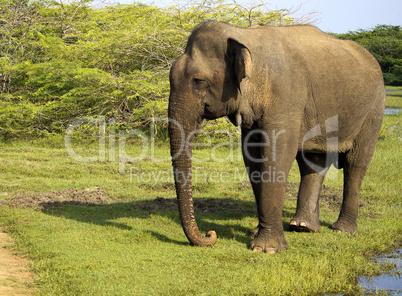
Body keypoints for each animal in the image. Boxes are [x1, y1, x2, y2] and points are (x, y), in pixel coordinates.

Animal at [167, 21, 386, 252]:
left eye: (198, 81)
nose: (210, 234)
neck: (242, 35)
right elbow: (252, 158)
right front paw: (255, 234)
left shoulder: (285, 95)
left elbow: (277, 156)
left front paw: (266, 249)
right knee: (313, 162)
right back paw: (303, 227)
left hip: (374, 108)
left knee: (356, 163)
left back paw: (342, 230)